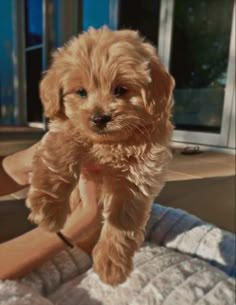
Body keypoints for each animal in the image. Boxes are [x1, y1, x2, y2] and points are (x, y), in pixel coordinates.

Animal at [26, 27, 174, 284]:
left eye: (120, 90)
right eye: (81, 92)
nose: (99, 118)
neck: (110, 145)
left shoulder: (141, 174)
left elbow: (124, 217)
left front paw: (111, 265)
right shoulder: (65, 129)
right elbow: (61, 152)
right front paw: (48, 208)